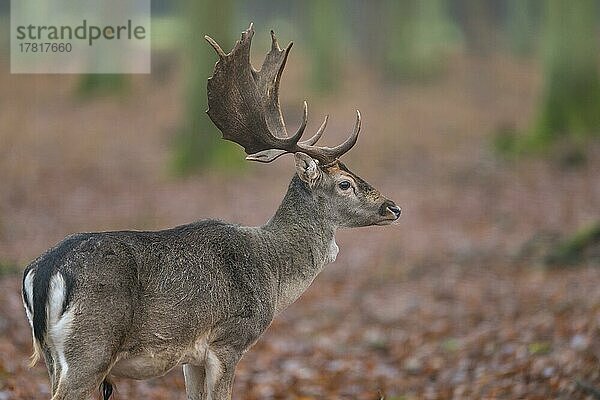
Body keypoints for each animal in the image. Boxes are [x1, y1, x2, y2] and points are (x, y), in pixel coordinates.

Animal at [21, 25, 400, 400]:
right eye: (345, 184)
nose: (393, 207)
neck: (273, 273)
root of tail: (42, 272)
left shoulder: (191, 357)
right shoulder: (228, 340)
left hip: (53, 357)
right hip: (92, 346)